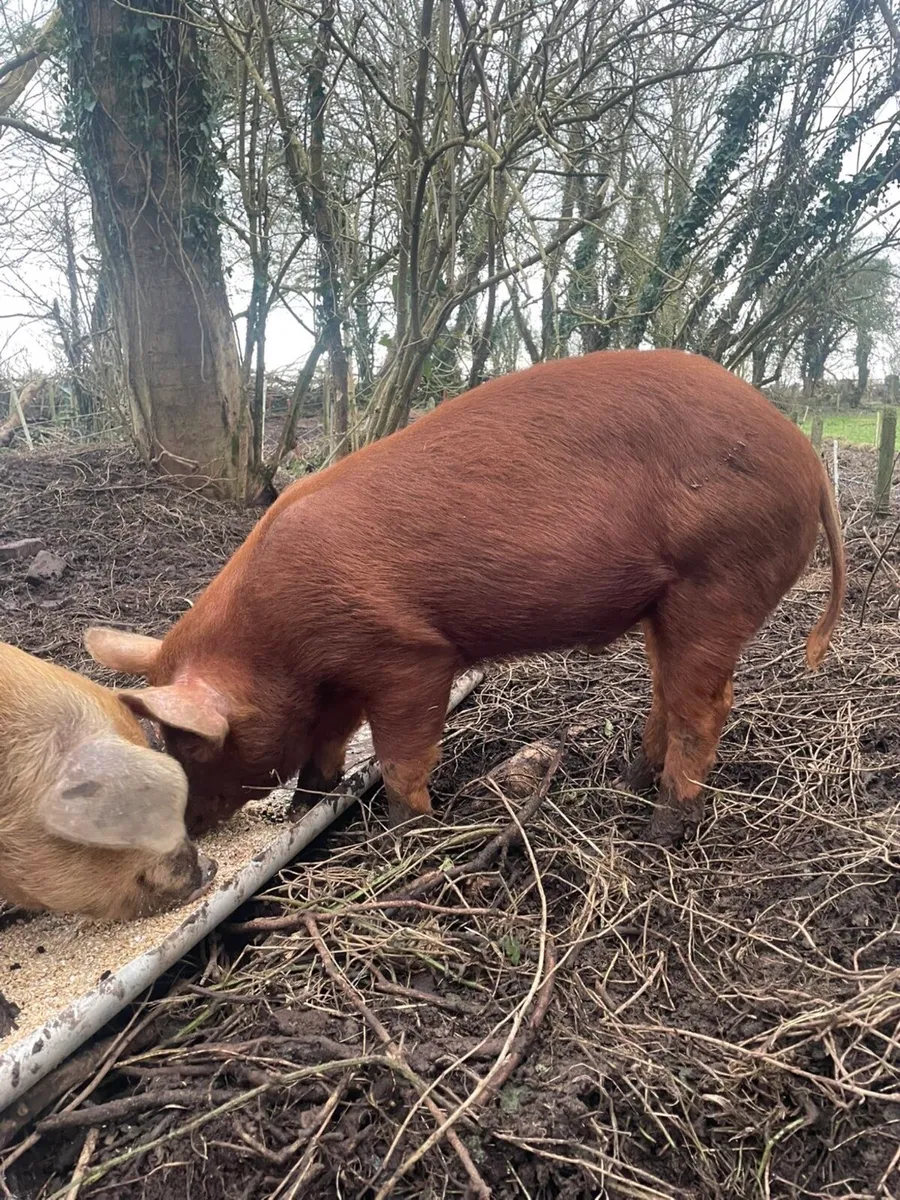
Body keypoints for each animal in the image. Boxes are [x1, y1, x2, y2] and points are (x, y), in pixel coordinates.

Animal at [84, 349, 845, 846]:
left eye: (189, 744)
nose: (188, 831)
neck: (278, 642)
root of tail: (810, 463)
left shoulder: (408, 656)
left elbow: (401, 753)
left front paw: (407, 833)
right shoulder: (342, 678)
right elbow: (328, 743)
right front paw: (306, 808)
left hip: (718, 578)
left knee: (706, 710)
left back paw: (658, 830)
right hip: (669, 602)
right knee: (667, 691)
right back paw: (631, 781)